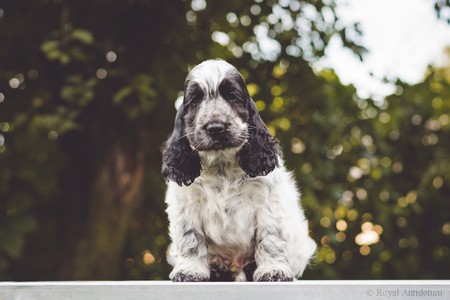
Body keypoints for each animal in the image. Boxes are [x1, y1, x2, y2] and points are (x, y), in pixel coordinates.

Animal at [162, 59, 316, 282]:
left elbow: (270, 237)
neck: (221, 166)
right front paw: (190, 271)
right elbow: (191, 239)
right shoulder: (186, 205)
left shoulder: (267, 202)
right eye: (195, 100)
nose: (215, 127)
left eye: (232, 96)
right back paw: (217, 268)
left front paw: (273, 270)